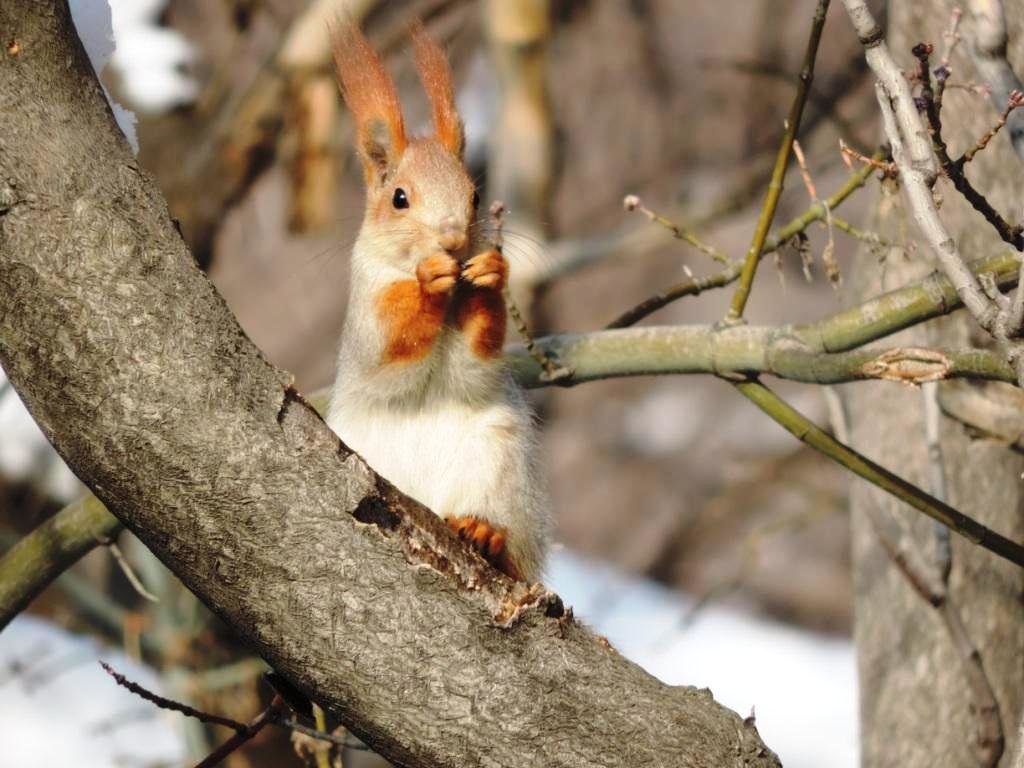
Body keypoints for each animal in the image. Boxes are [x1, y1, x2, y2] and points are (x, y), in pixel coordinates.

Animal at [327, 25, 552, 581]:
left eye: (475, 196)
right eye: (399, 199)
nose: (452, 241)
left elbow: (474, 360)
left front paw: (489, 277)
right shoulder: (366, 315)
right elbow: (391, 348)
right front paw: (428, 281)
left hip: (499, 470)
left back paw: (485, 533)